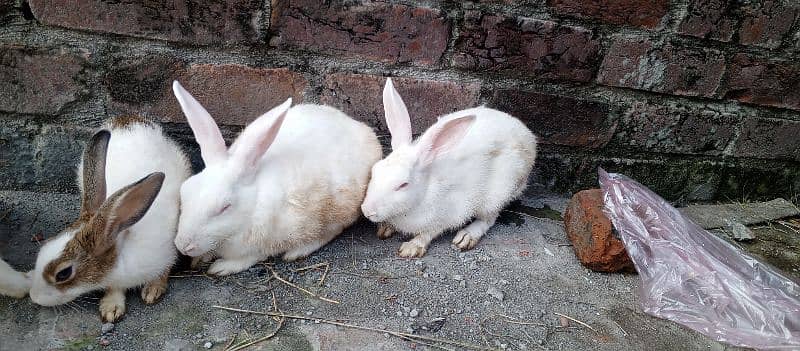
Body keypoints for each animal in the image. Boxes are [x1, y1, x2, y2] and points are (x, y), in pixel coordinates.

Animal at [28, 117, 192, 322]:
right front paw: (111, 308)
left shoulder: (167, 251)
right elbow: (114, 289)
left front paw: (153, 290)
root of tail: (128, 119)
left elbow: (164, 271)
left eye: (63, 274)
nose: (34, 297)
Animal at [171, 81, 382, 276]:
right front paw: (199, 259)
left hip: (336, 208)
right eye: (184, 193)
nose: (183, 245)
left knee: (330, 231)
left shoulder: (266, 242)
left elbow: (251, 257)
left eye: (224, 207)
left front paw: (221, 267)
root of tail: (361, 128)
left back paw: (297, 251)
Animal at [360, 78, 536, 258]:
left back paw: (467, 236)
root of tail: (529, 138)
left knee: (489, 219)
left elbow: (429, 233)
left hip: (497, 195)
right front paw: (386, 228)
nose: (367, 211)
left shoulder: (448, 215)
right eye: (375, 171)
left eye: (403, 185)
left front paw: (412, 248)